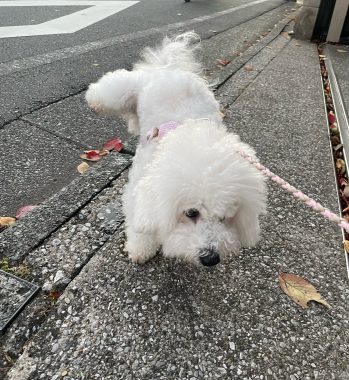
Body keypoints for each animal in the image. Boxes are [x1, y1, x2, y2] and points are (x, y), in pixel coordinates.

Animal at [85, 33, 266, 268]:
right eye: (191, 213)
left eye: (225, 217)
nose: (211, 259)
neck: (187, 133)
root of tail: (170, 67)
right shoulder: (140, 189)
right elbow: (138, 220)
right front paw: (141, 248)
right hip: (126, 90)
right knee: (112, 89)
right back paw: (94, 101)